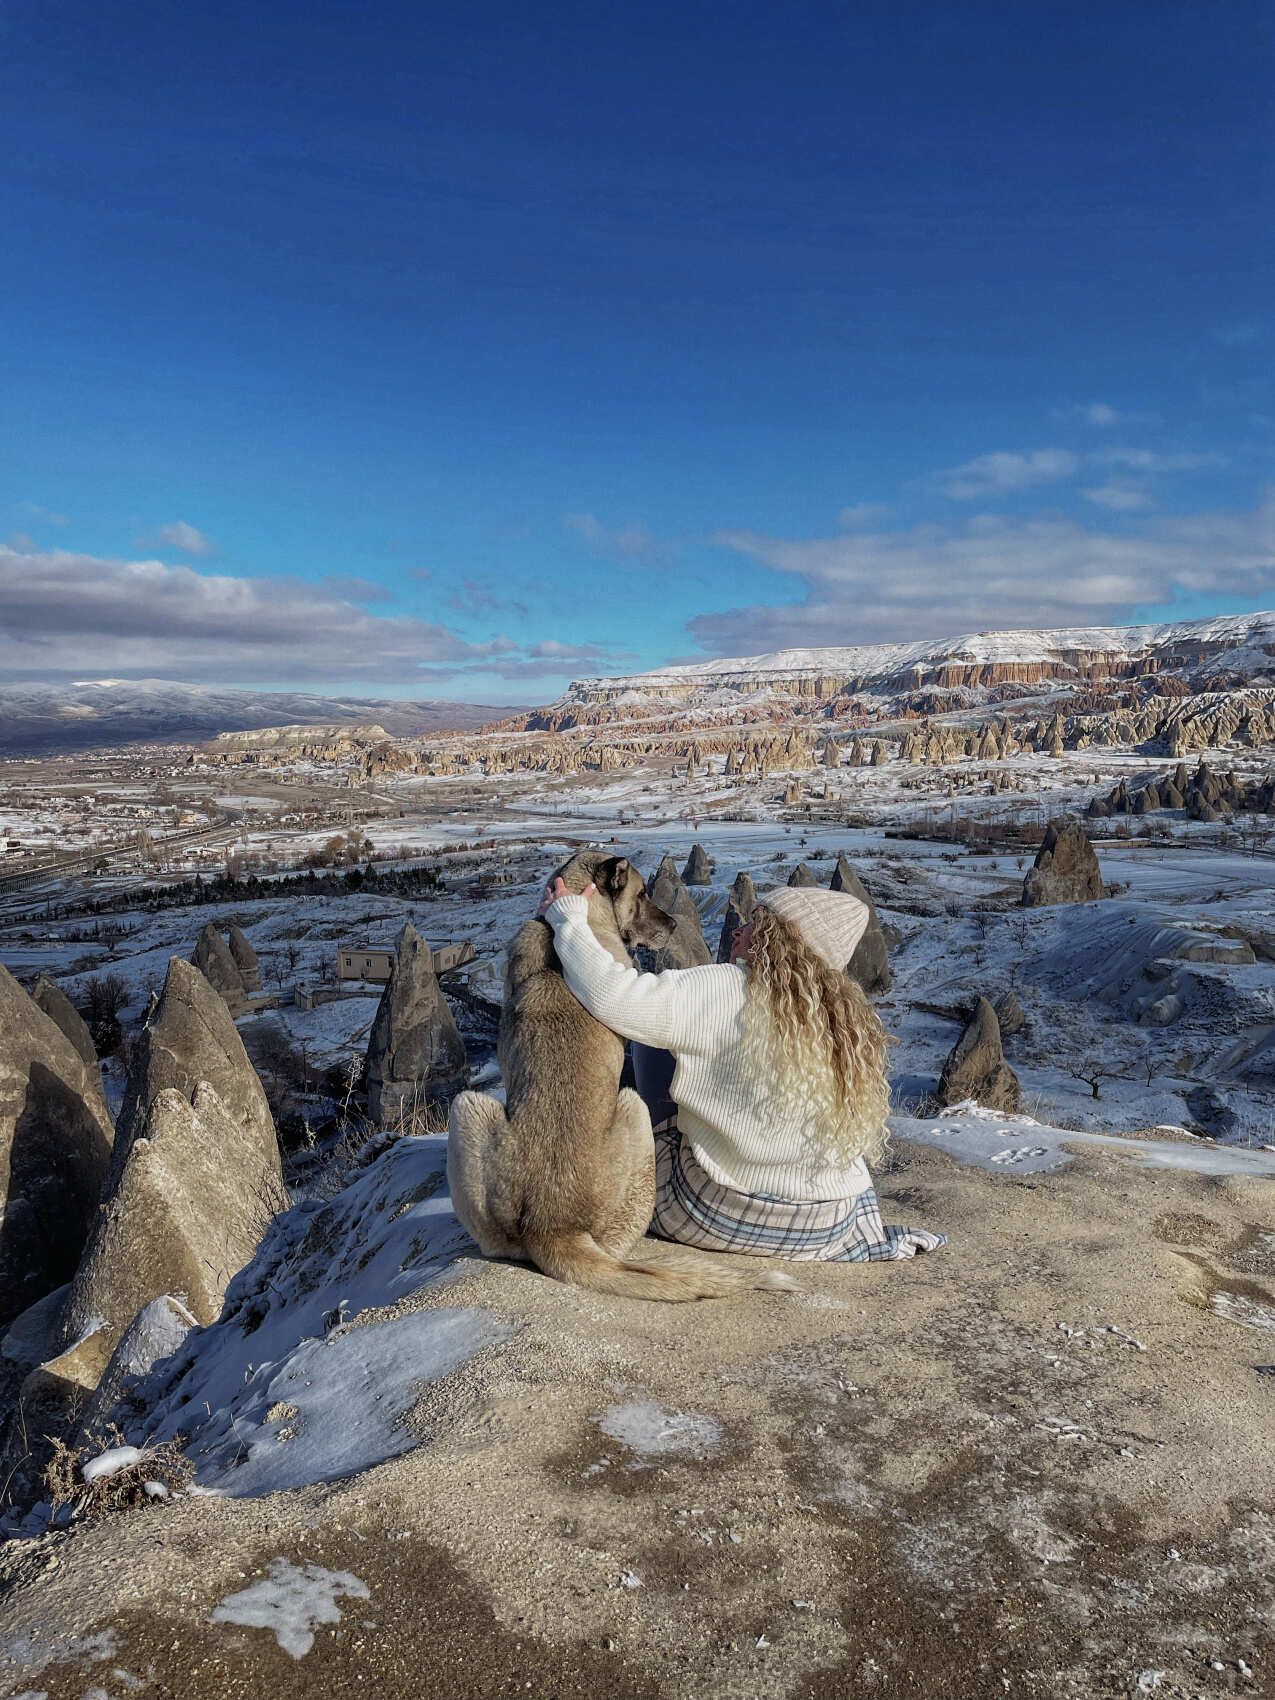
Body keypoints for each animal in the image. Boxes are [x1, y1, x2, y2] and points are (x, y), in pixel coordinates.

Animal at [445, 850, 788, 1298]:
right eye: (641, 894)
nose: (674, 925)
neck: (580, 920)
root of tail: (553, 1225)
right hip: (617, 1108)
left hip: (467, 1108)